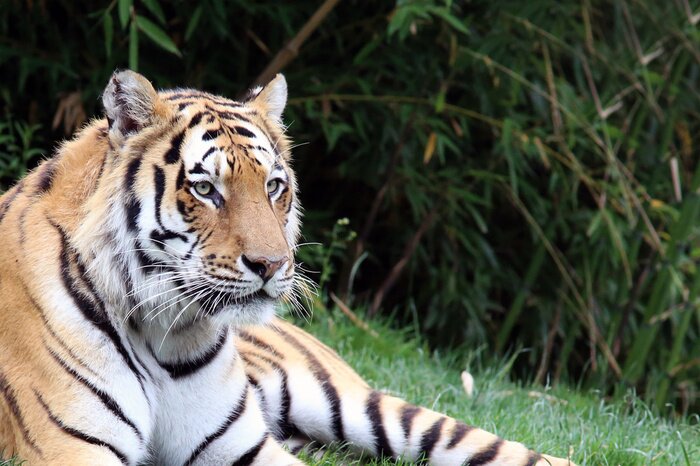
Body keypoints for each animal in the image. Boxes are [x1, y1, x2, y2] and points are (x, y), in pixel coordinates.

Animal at [0, 70, 576, 466]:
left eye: (274, 185)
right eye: (205, 189)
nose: (271, 264)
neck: (166, 332)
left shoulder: (243, 447)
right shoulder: (75, 449)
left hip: (359, 404)